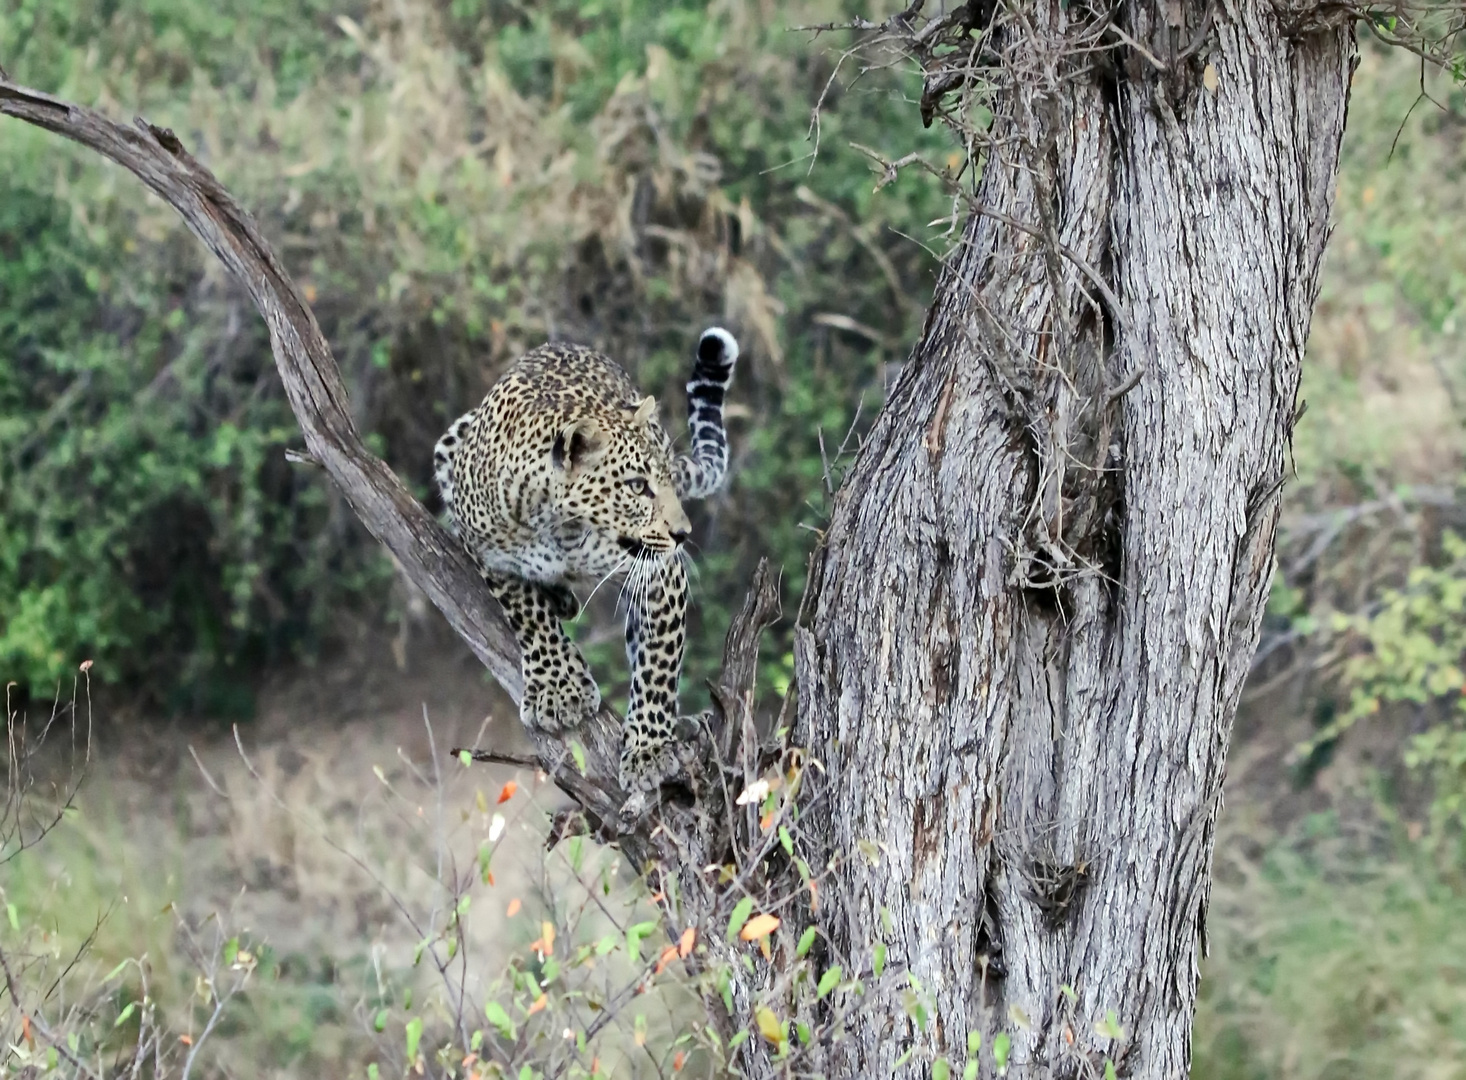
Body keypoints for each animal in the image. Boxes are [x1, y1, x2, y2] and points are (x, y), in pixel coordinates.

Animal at [431, 323, 733, 785]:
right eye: (637, 486)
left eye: (665, 479)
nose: (683, 533)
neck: (558, 525)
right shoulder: (491, 555)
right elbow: (528, 616)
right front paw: (559, 689)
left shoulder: (660, 574)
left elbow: (658, 666)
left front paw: (649, 749)